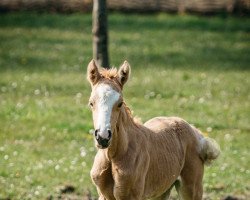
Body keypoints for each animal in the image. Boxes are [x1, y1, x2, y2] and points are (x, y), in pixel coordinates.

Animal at [87, 59, 220, 200]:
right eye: (91, 103)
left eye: (120, 103)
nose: (103, 137)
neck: (113, 156)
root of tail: (195, 132)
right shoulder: (104, 195)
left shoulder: (132, 196)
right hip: (162, 191)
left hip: (191, 188)